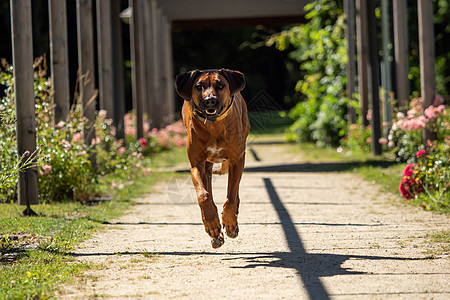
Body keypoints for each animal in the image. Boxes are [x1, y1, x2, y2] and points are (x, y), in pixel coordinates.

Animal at [175, 68, 250, 248]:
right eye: (199, 86)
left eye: (220, 85)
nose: (210, 101)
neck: (214, 125)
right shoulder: (196, 164)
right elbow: (204, 195)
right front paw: (212, 224)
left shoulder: (237, 160)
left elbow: (231, 196)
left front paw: (229, 222)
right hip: (207, 166)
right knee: (208, 187)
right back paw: (215, 232)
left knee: (235, 192)